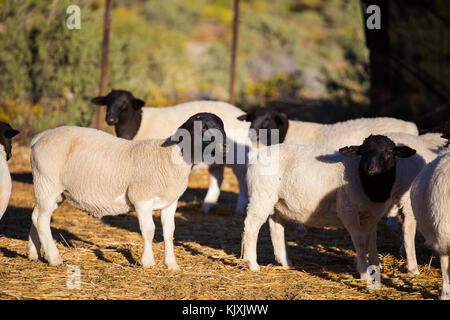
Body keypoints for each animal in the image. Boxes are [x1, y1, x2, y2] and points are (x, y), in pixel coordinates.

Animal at [26, 114, 227, 268]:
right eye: (203, 127)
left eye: (222, 126)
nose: (225, 147)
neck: (169, 157)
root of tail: (40, 138)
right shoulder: (141, 198)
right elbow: (149, 230)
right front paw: (148, 262)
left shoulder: (170, 202)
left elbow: (169, 232)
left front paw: (171, 264)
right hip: (48, 183)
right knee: (42, 219)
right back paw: (54, 258)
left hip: (54, 191)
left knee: (36, 216)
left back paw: (34, 253)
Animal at [92, 90, 251, 215]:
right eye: (107, 102)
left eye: (125, 105)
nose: (110, 119)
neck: (137, 125)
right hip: (218, 158)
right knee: (217, 177)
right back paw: (206, 206)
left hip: (238, 156)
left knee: (242, 179)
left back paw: (240, 208)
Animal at [243, 134, 418, 278]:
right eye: (364, 152)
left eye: (389, 152)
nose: (372, 170)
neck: (367, 183)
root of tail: (258, 154)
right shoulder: (348, 211)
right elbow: (360, 240)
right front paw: (363, 272)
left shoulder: (373, 214)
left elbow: (371, 239)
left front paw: (375, 266)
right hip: (261, 195)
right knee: (251, 225)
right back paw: (252, 264)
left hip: (278, 201)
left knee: (276, 226)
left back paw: (285, 261)